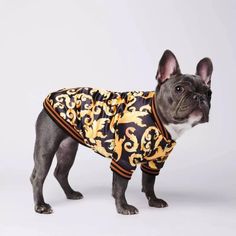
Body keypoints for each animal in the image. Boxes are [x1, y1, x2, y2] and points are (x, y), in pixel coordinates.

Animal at [30, 50, 213, 216]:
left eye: (209, 93)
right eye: (179, 89)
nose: (199, 97)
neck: (157, 118)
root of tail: (52, 94)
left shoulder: (155, 161)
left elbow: (149, 182)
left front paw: (153, 200)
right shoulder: (124, 158)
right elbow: (120, 185)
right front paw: (123, 207)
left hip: (68, 148)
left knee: (60, 172)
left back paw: (70, 193)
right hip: (47, 147)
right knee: (38, 177)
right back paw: (41, 206)